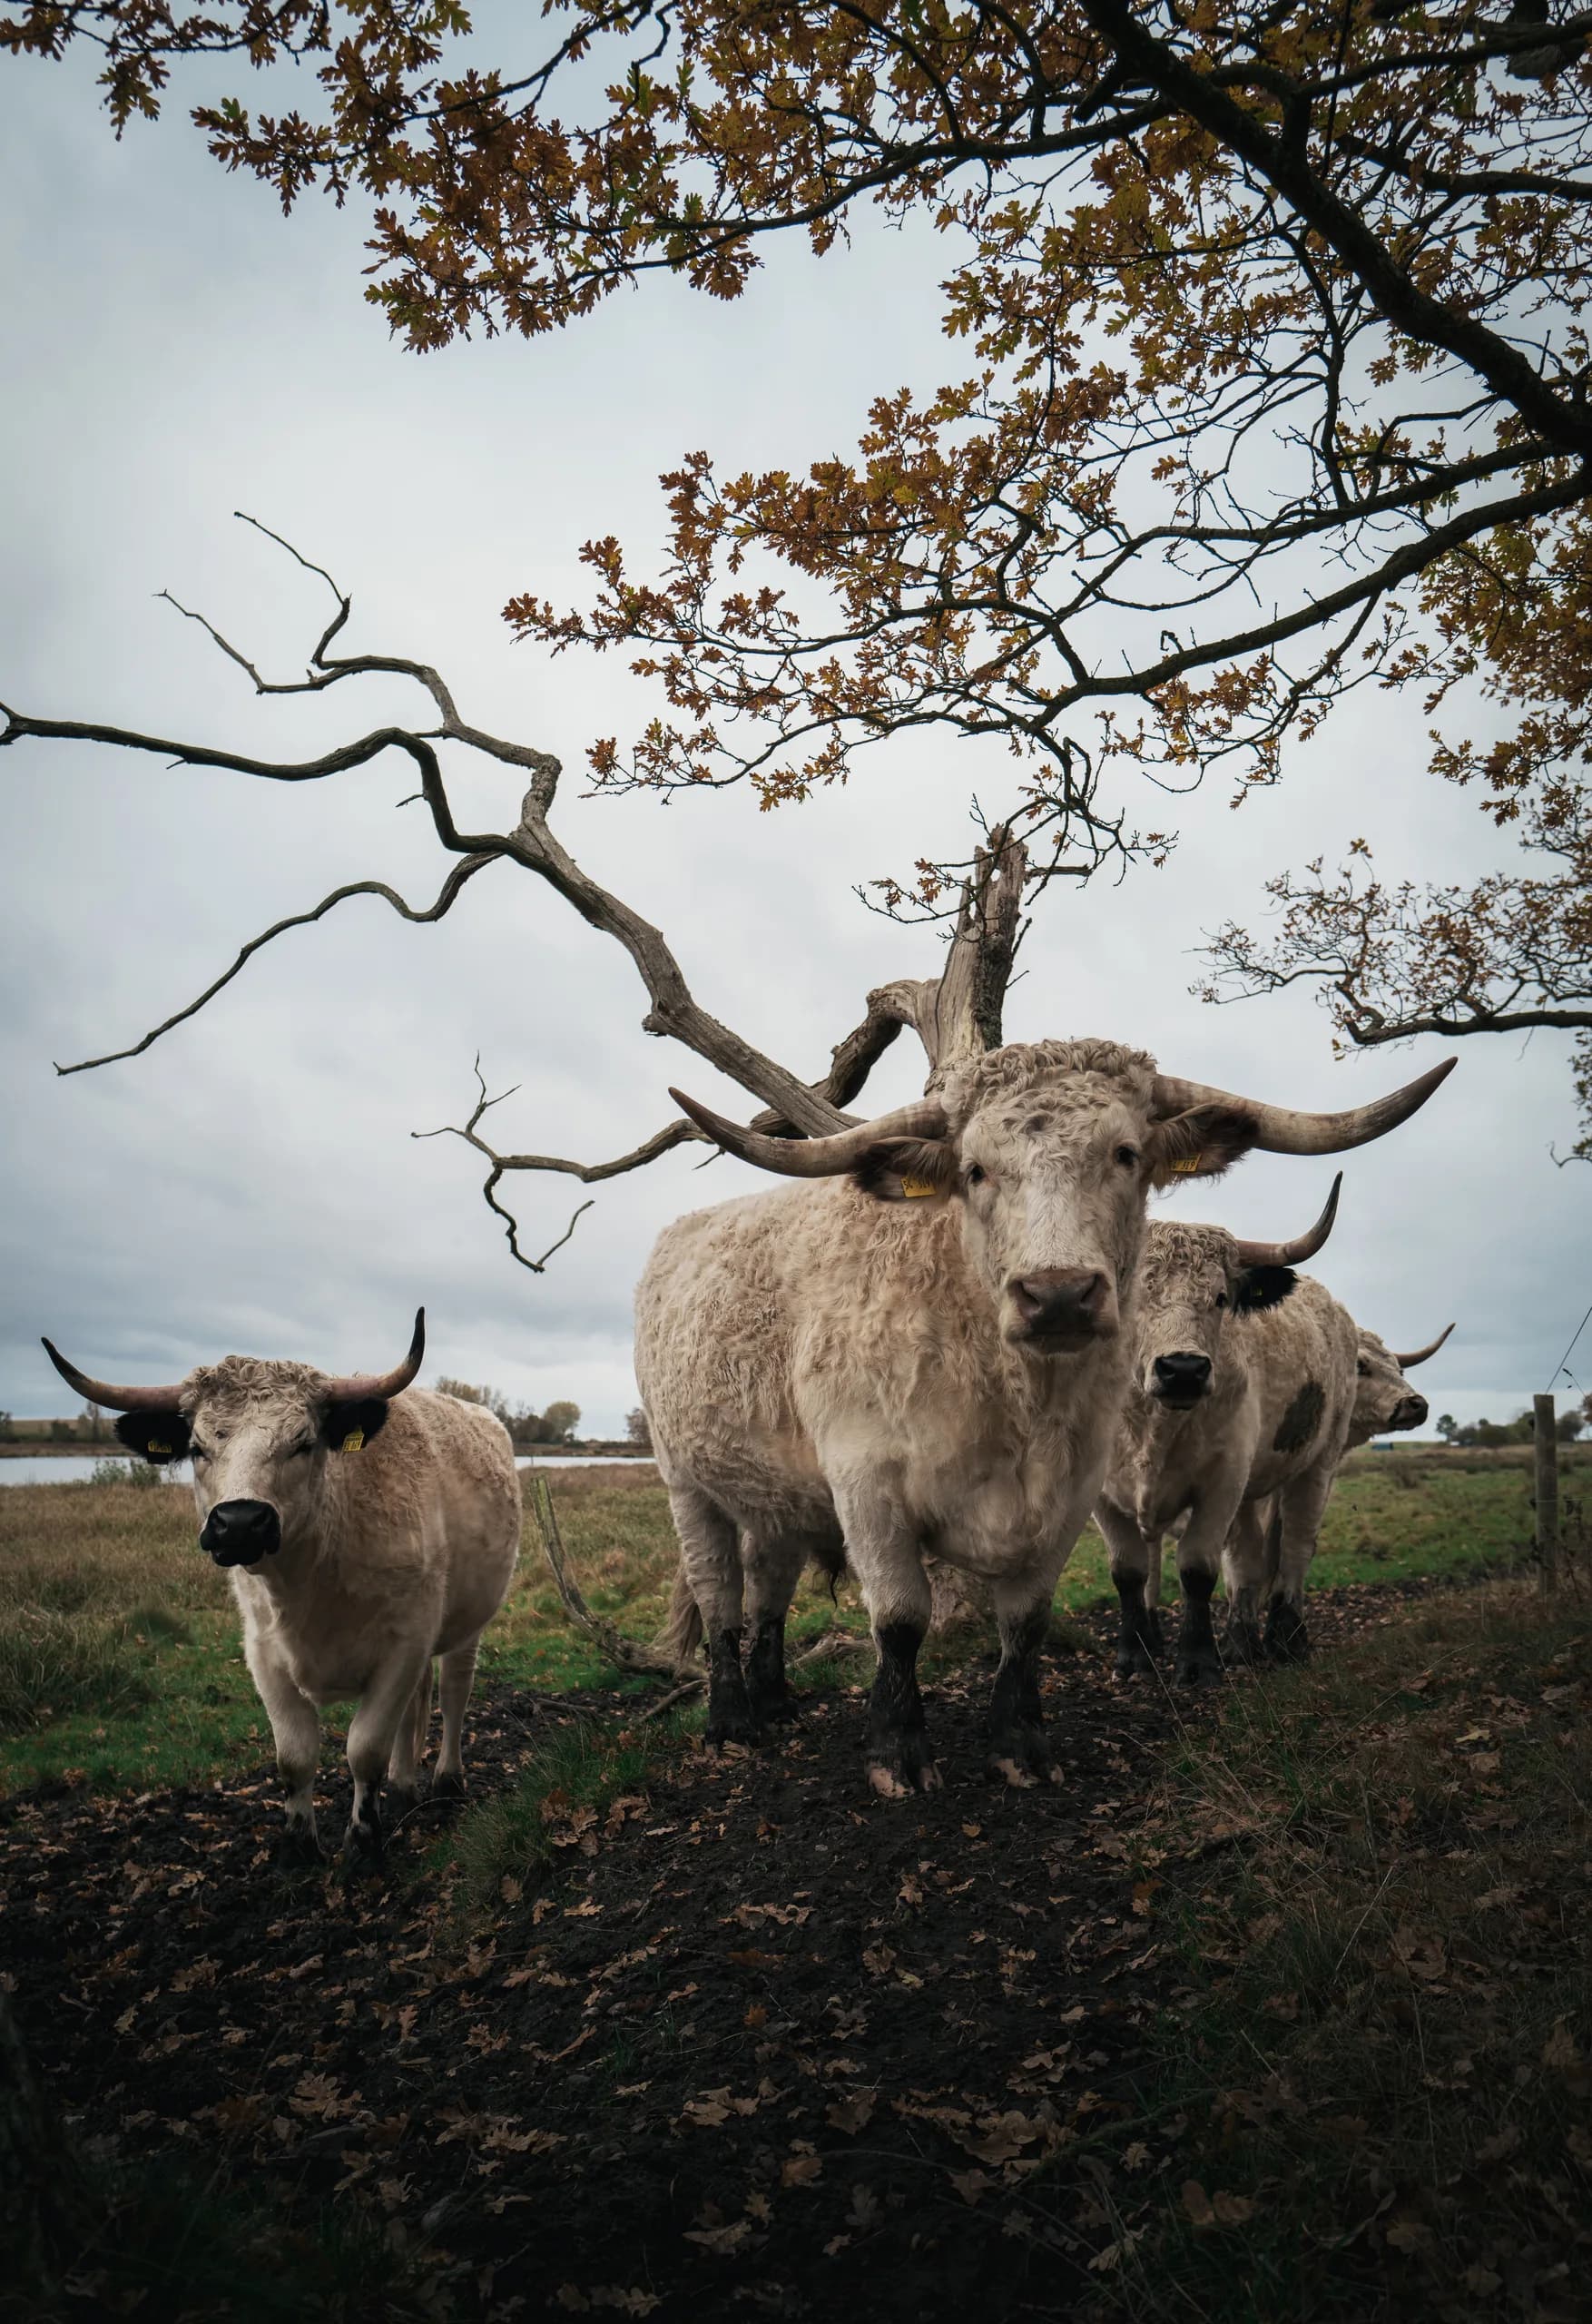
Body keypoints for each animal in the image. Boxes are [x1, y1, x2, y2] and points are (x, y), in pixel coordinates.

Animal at [40, 1312, 521, 1860]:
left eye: (303, 1442)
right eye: (197, 1448)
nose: (239, 1522)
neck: (313, 1579)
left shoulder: (403, 1646)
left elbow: (365, 1749)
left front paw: (362, 1842)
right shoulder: (264, 1653)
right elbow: (295, 1755)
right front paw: (298, 1844)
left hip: (468, 1623)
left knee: (456, 1690)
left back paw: (446, 1781)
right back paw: (403, 1788)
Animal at [1095, 1190, 1357, 1683]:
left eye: (1219, 1298)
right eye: (1136, 1294)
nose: (1182, 1369)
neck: (1151, 1425)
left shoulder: (1223, 1481)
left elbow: (1198, 1568)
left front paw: (1198, 1661)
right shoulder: (1101, 1495)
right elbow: (1129, 1571)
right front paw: (1135, 1654)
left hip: (1318, 1464)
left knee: (1296, 1545)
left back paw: (1286, 1638)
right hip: (1254, 1490)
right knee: (1247, 1556)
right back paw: (1240, 1641)